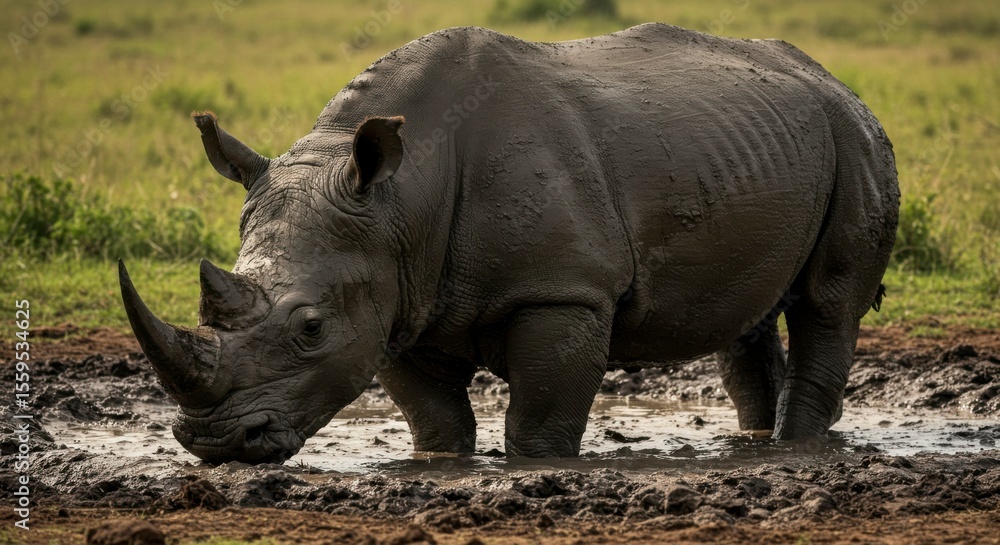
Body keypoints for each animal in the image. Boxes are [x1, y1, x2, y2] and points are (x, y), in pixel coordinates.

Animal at [119, 24, 898, 463]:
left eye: (310, 327)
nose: (218, 444)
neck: (401, 196)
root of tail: (830, 75)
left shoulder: (563, 290)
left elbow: (539, 419)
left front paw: (537, 470)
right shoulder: (396, 294)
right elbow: (433, 417)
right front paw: (442, 465)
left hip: (856, 136)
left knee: (828, 304)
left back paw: (795, 449)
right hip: (753, 144)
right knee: (748, 315)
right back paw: (753, 445)